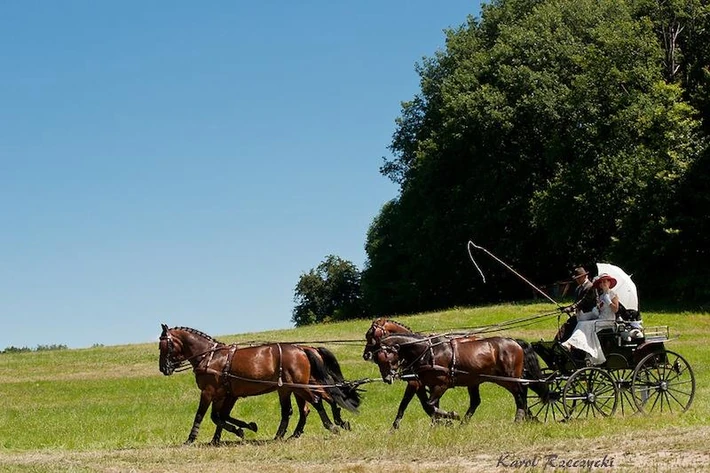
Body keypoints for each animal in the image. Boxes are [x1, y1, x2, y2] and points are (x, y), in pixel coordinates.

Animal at [161, 322, 362, 440]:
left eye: (163, 345)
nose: (163, 368)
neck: (210, 356)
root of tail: (302, 349)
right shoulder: (225, 394)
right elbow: (218, 417)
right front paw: (237, 431)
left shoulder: (209, 392)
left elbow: (202, 415)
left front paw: (191, 439)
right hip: (289, 388)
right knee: (299, 408)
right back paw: (287, 434)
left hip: (298, 386)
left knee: (317, 401)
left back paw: (331, 426)